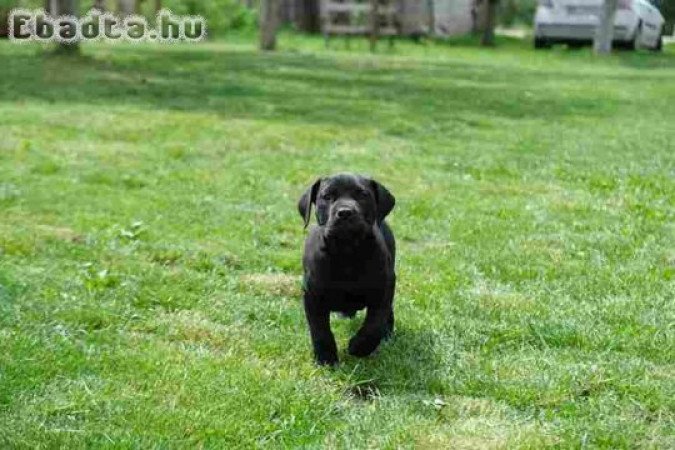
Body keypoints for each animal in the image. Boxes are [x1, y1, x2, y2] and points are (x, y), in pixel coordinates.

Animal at [298, 172, 396, 366]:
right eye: (327, 196)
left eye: (362, 195)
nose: (345, 212)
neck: (347, 251)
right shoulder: (312, 294)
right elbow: (319, 329)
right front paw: (326, 358)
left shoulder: (384, 287)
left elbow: (375, 323)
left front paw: (359, 347)